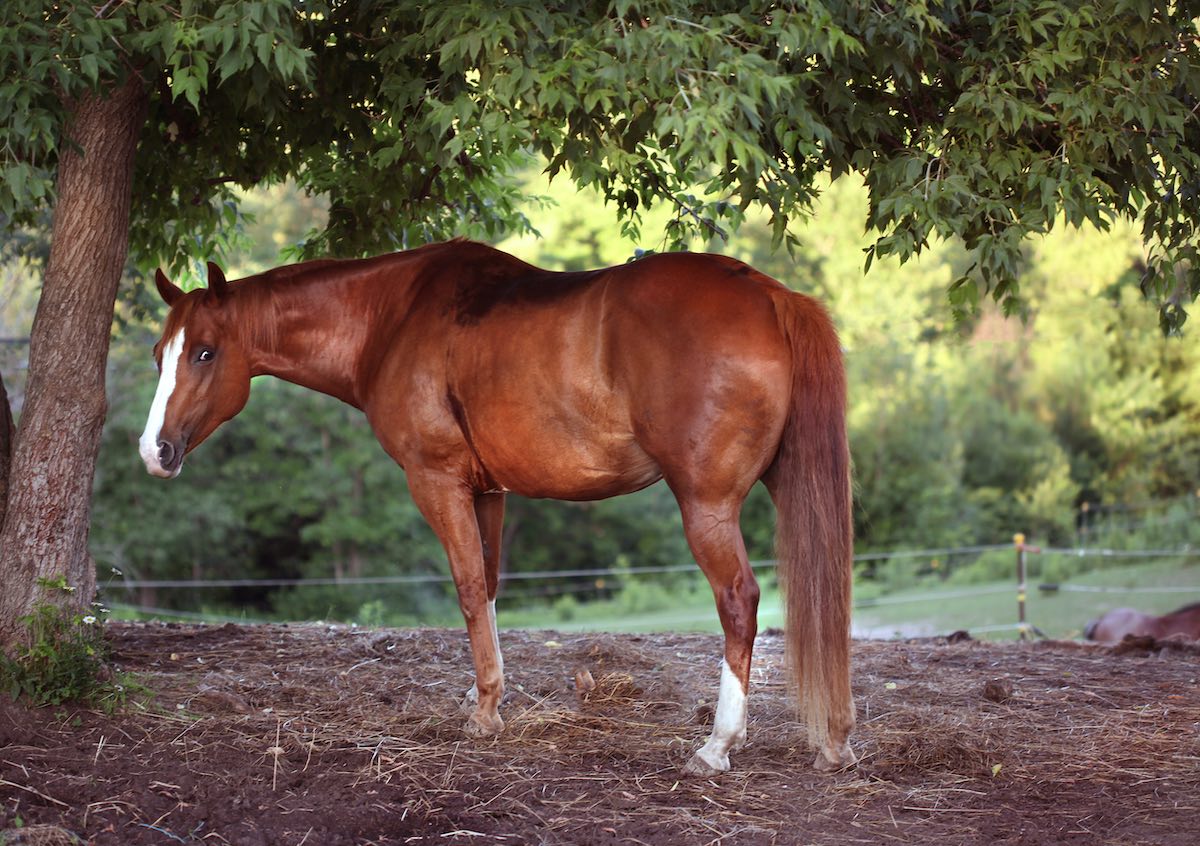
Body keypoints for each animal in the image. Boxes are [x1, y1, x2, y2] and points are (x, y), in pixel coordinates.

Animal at [140, 237, 854, 772]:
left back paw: (718, 745)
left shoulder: (437, 482)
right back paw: (833, 738)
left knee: (739, 601)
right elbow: (485, 583)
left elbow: (463, 585)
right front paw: (483, 693)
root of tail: (770, 296)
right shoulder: (488, 492)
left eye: (204, 352)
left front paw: (486, 711)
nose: (155, 451)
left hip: (706, 506)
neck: (392, 317)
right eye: (159, 354)